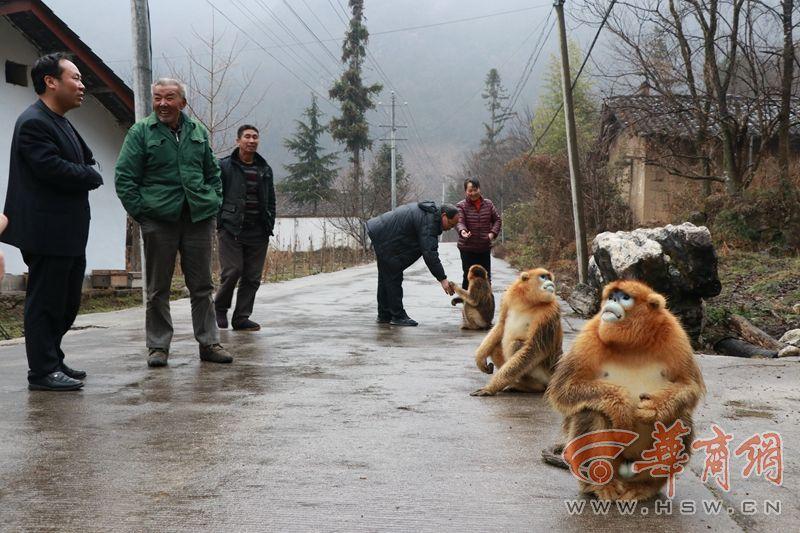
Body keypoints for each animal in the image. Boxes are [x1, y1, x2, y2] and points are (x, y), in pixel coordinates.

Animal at [468, 266, 564, 394]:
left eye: (549, 278)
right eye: (543, 277)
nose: (551, 282)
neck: (528, 301)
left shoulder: (549, 312)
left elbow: (533, 349)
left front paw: (490, 388)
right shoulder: (508, 296)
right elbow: (501, 324)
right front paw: (480, 358)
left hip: (547, 375)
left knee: (516, 344)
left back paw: (534, 386)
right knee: (495, 346)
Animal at [544, 280, 708, 500]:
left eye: (624, 297)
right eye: (611, 296)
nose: (612, 300)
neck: (633, 344)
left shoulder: (675, 335)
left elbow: (689, 385)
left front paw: (654, 408)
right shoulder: (590, 335)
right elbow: (563, 389)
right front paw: (620, 406)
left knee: (679, 418)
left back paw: (644, 486)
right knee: (592, 412)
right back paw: (602, 484)